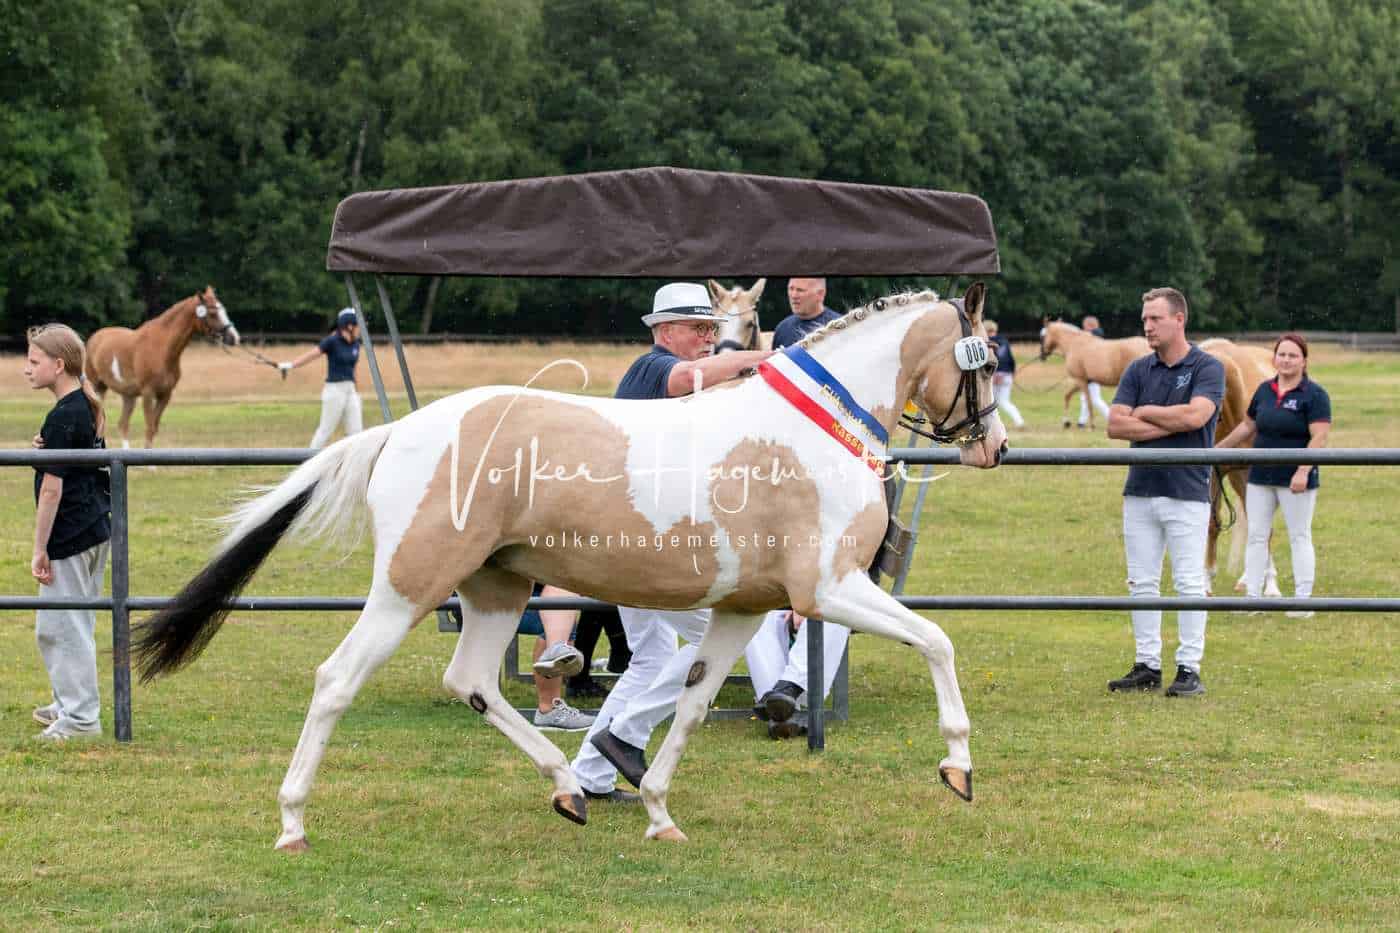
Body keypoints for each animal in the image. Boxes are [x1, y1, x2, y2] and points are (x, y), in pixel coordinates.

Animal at [85, 286, 241, 448]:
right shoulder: (148, 393)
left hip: (128, 395)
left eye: (223, 310)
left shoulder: (165, 395)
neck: (162, 348)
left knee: (123, 424)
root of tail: (94, 338)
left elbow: (153, 429)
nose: (234, 338)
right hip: (97, 386)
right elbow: (149, 427)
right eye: (212, 313)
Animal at [131, 285, 1008, 851]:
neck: (816, 427)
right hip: (411, 588)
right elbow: (937, 642)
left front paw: (658, 811)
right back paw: (292, 821)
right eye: (980, 360)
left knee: (472, 681)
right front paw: (958, 767)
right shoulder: (828, 589)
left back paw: (565, 787)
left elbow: (692, 703)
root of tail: (403, 430)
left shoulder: (742, 608)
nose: (994, 445)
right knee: (337, 680)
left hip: (495, 588)